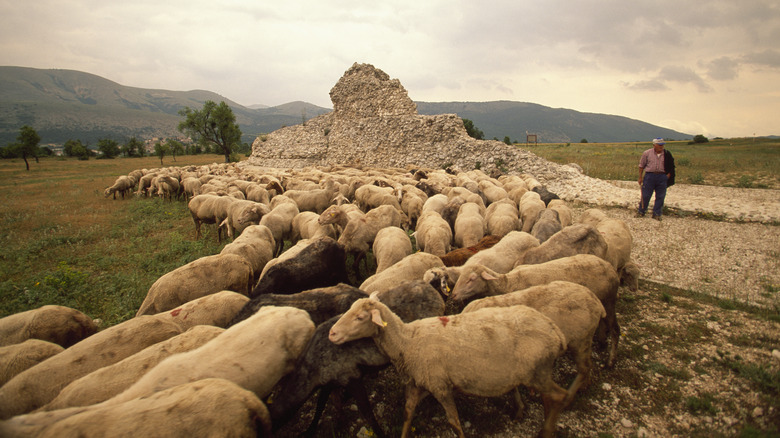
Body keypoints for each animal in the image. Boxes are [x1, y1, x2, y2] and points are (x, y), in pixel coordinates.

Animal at [328, 296, 568, 436]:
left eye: (360, 317)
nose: (332, 334)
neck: (408, 342)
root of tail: (555, 329)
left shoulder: (440, 386)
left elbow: (454, 422)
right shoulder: (418, 382)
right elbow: (407, 413)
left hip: (537, 371)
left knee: (559, 396)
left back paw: (547, 430)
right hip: (539, 372)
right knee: (549, 398)